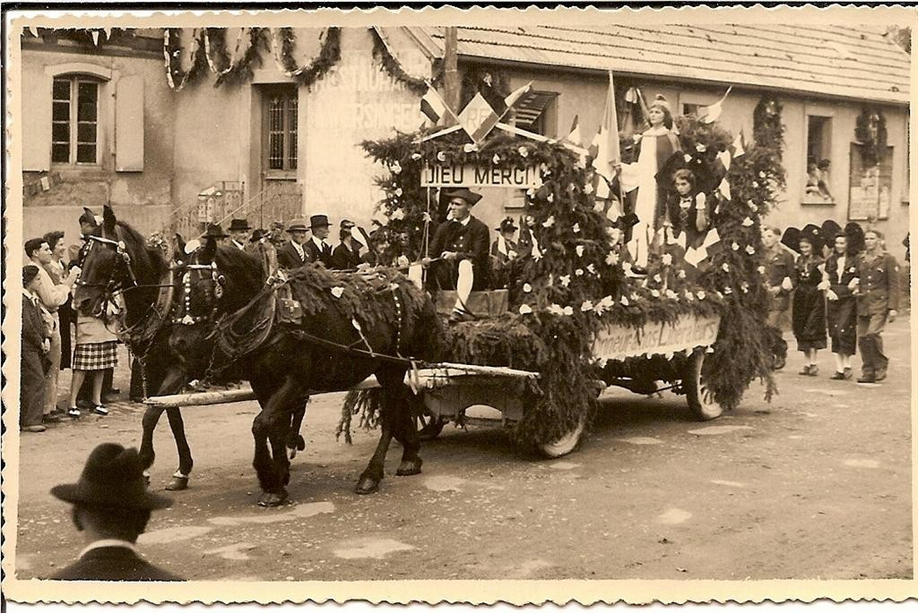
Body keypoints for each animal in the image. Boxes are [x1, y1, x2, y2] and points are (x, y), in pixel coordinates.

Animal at [168, 232, 442, 506]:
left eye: (206, 289)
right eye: (177, 287)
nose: (178, 342)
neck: (275, 312)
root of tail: (408, 287)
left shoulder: (295, 381)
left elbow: (260, 424)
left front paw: (268, 477)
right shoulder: (262, 383)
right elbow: (275, 427)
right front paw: (280, 477)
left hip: (391, 364)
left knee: (390, 414)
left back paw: (371, 475)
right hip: (391, 366)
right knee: (402, 402)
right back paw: (410, 456)